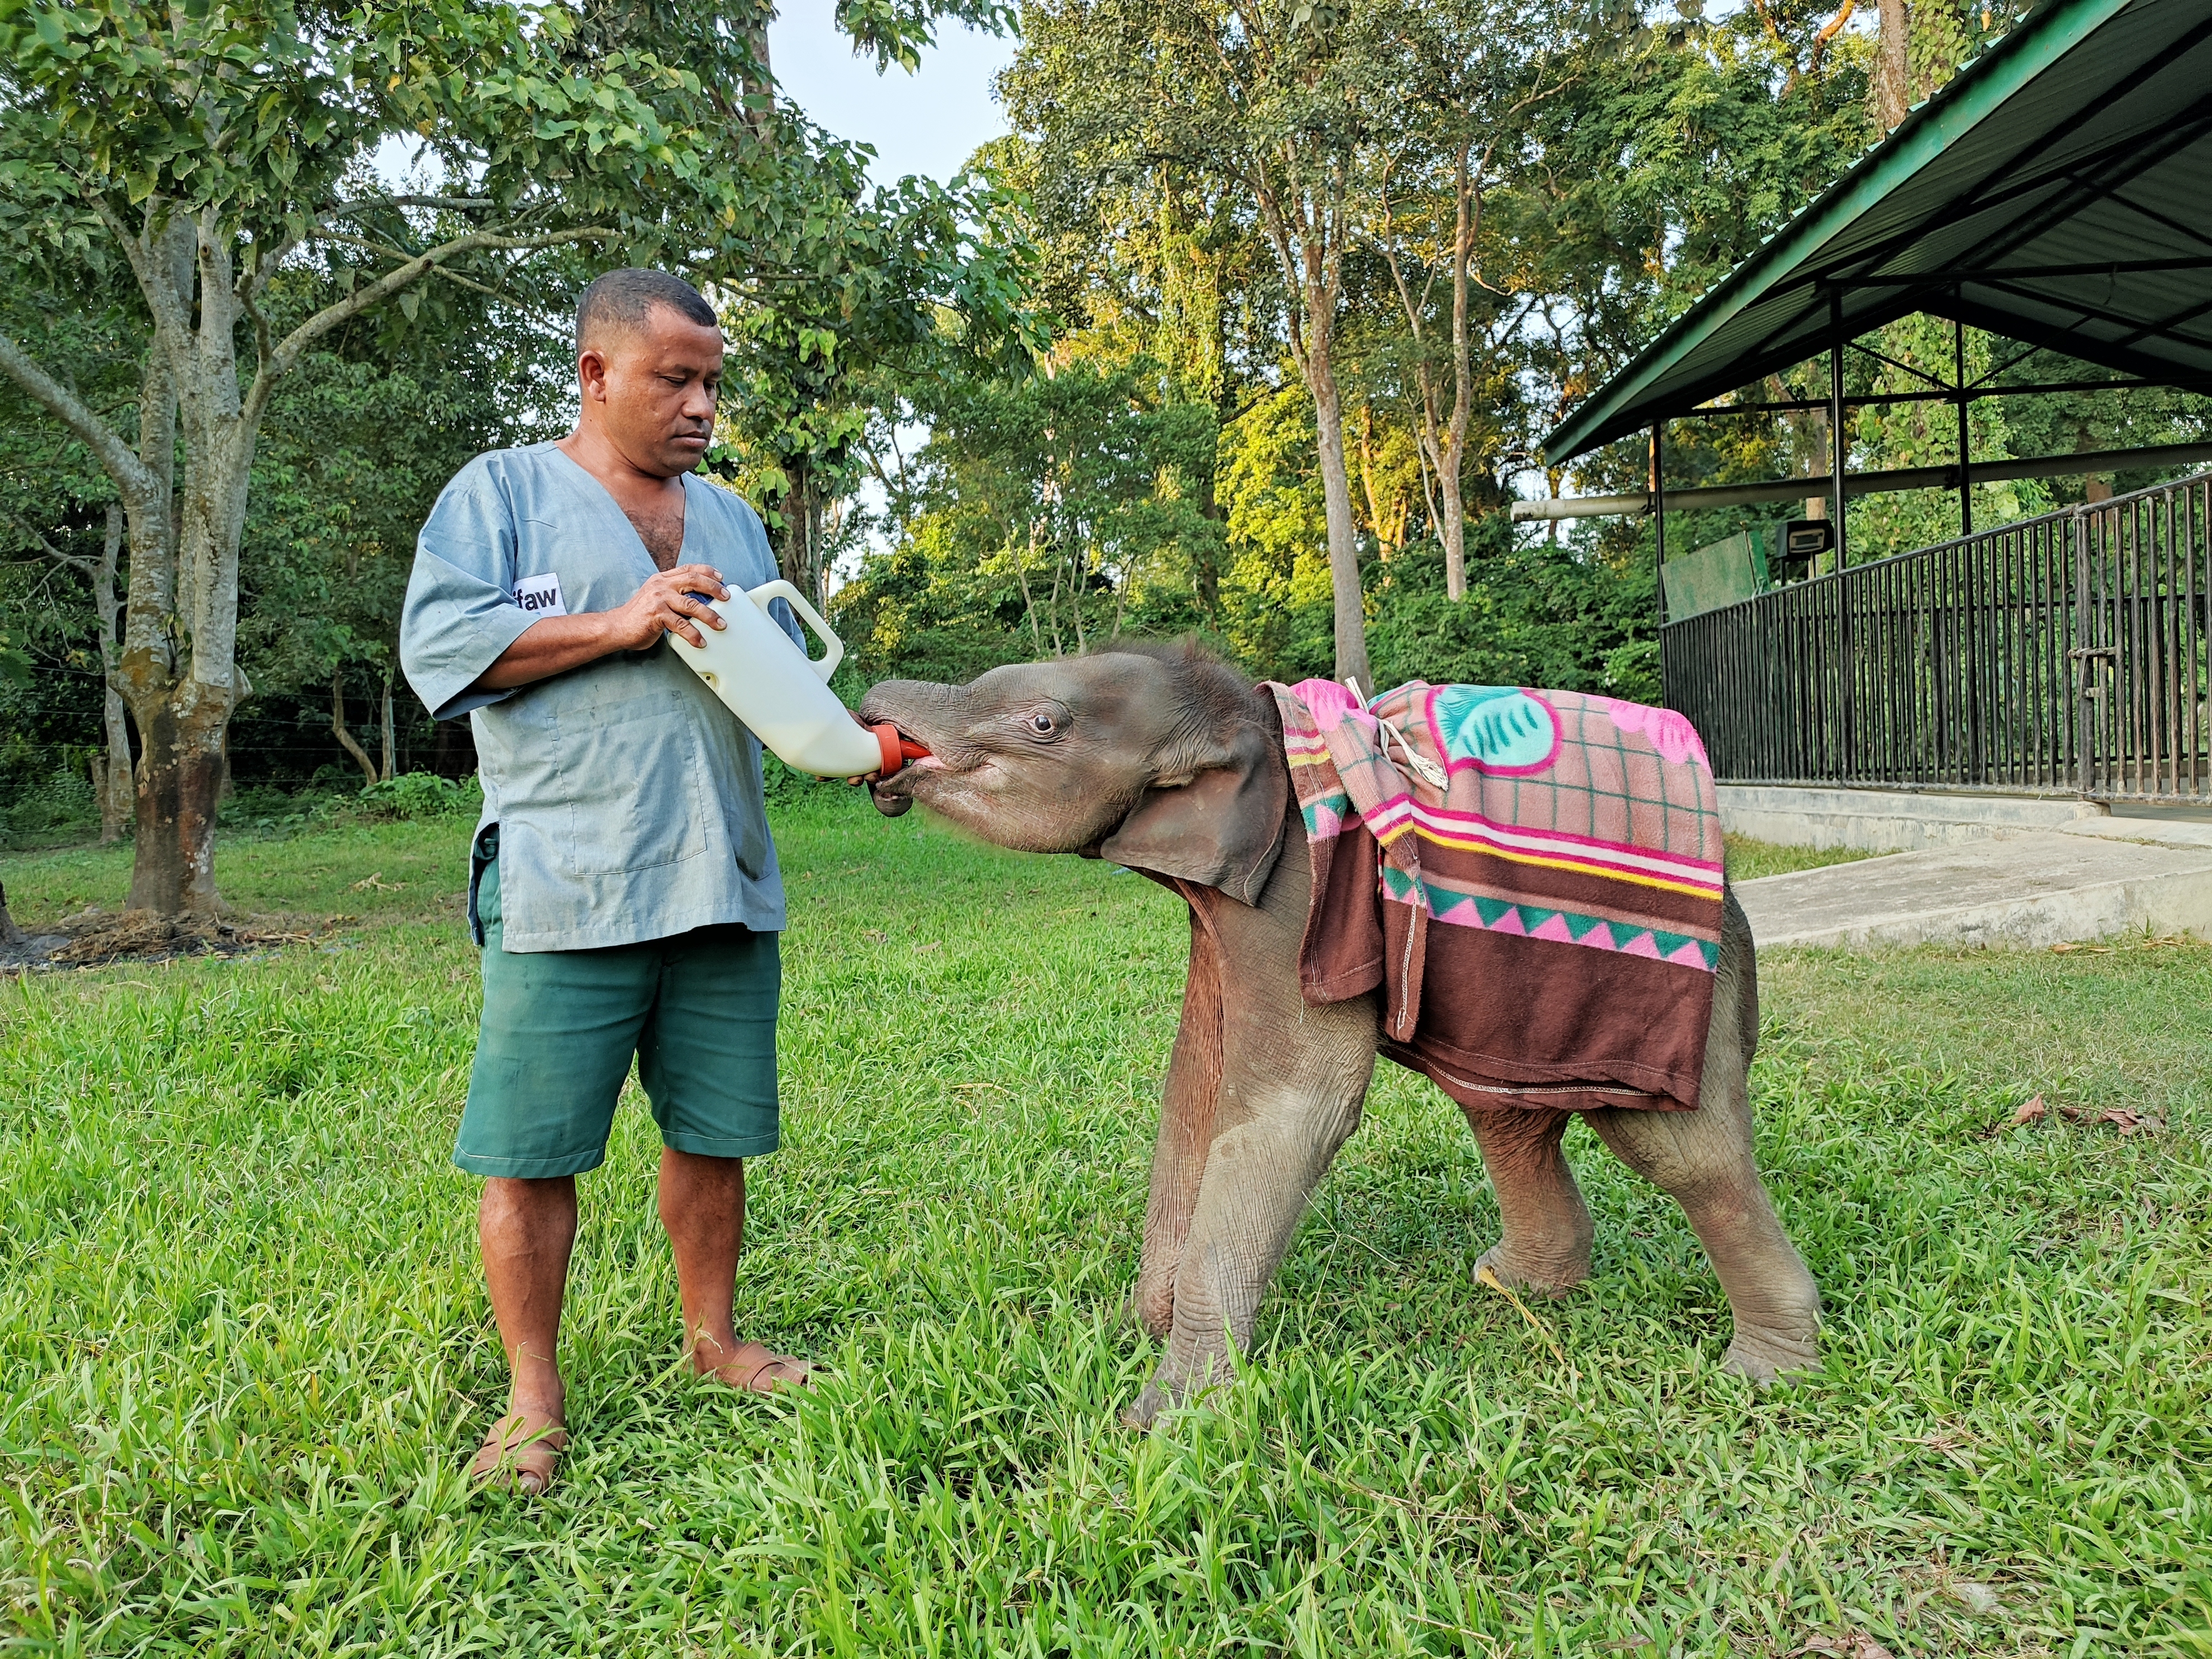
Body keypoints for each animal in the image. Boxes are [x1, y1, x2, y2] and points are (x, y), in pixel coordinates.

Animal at [859, 641, 1820, 1427]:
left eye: (1044, 723)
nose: (870, 717)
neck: (1245, 719)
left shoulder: (1292, 900)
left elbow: (1296, 1104)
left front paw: (1165, 1417)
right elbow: (1193, 1086)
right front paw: (1139, 1330)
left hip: (1670, 1002)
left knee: (1678, 1149)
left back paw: (1766, 1375)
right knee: (1505, 1119)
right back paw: (1512, 1285)